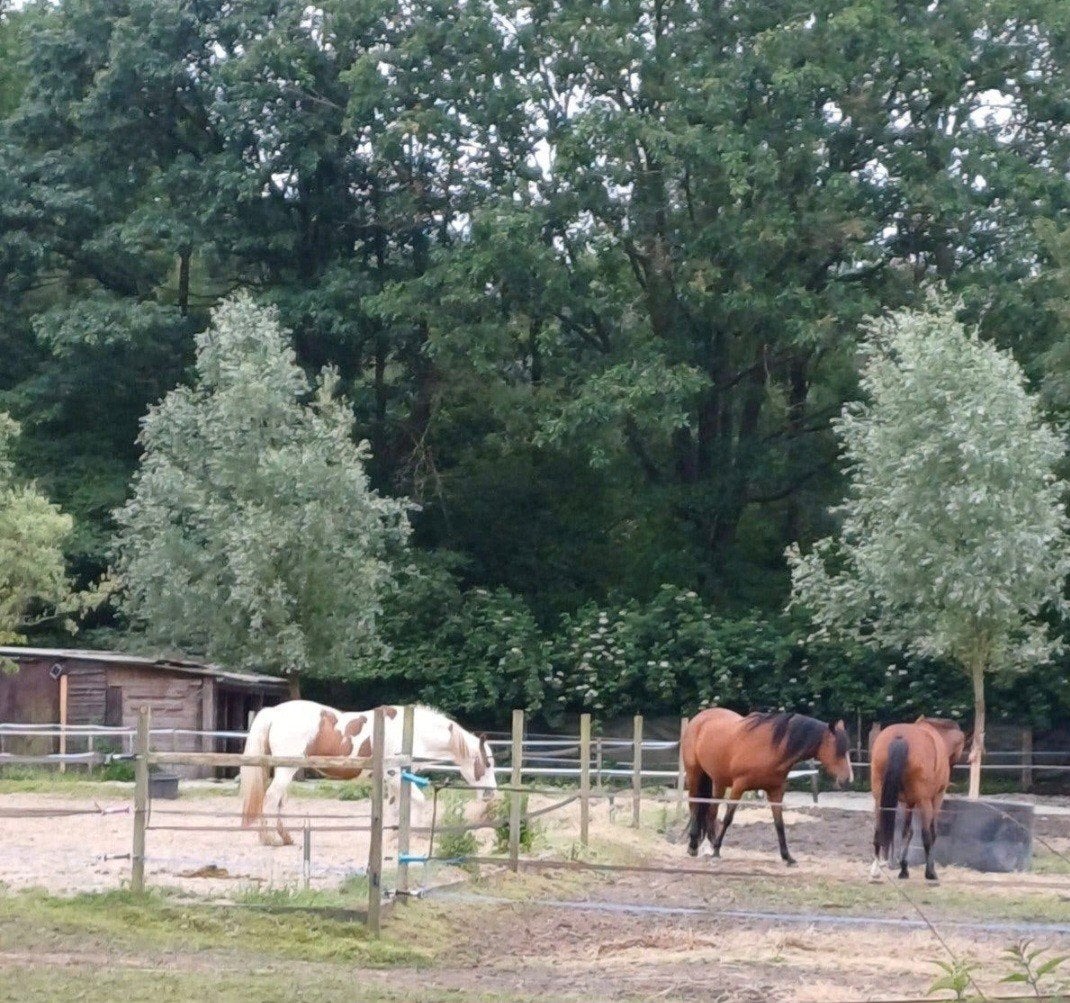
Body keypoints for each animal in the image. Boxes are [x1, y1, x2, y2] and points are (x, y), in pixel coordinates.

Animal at [239, 700, 497, 846]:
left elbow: (395, 806)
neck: (413, 731)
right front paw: (414, 835)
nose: (491, 794)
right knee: (271, 799)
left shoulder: (391, 779)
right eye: (487, 764)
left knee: (279, 802)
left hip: (286, 770)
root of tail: (273, 712)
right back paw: (270, 839)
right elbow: (418, 801)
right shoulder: (395, 774)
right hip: (286, 770)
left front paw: (392, 836)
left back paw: (285, 837)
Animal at [681, 709, 853, 865]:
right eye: (837, 750)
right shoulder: (738, 788)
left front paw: (787, 856)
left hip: (718, 781)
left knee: (711, 812)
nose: (846, 780)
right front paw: (717, 850)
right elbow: (728, 818)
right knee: (694, 806)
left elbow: (779, 824)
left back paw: (710, 844)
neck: (771, 748)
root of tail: (699, 718)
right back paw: (694, 846)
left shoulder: (776, 792)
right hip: (695, 774)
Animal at [869, 716, 966, 882]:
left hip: (879, 799)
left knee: (878, 831)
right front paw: (928, 869)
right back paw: (930, 874)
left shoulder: (908, 803)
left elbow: (907, 832)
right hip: (925, 801)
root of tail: (900, 737)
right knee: (926, 835)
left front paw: (903, 869)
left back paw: (875, 870)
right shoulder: (936, 798)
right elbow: (931, 833)